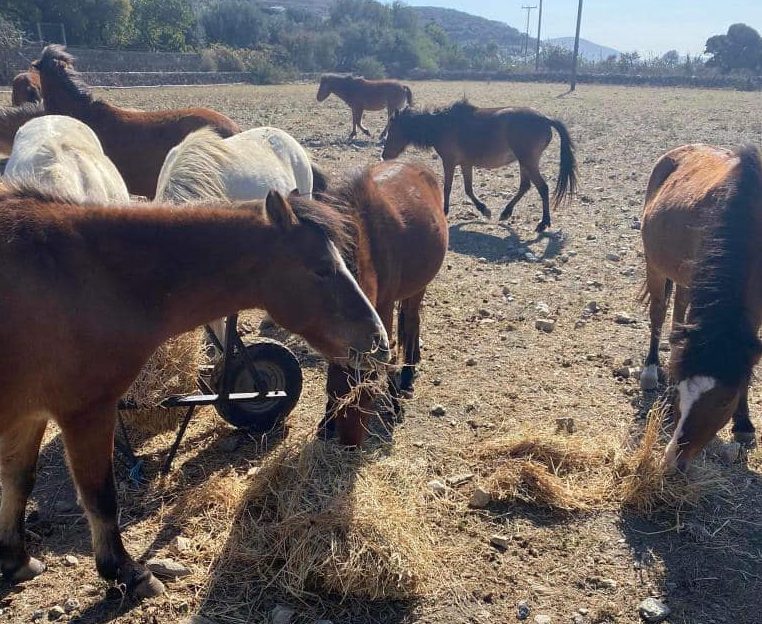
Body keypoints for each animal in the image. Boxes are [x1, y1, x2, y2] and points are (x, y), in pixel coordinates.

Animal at [0, 186, 386, 596]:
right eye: (322, 269)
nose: (379, 340)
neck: (85, 273)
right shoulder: (86, 411)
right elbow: (100, 496)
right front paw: (127, 571)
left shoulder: (30, 415)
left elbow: (19, 480)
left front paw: (16, 559)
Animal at [314, 160, 446, 444]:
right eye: (332, 391)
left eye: (369, 392)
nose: (349, 443)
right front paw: (325, 423)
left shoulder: (383, 306)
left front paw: (395, 405)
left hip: (418, 287)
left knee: (412, 321)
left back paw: (408, 373)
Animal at [380, 101, 576, 233]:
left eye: (392, 129)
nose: (384, 155)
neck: (442, 125)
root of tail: (545, 119)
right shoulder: (466, 164)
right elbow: (468, 189)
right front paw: (484, 209)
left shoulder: (449, 161)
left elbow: (448, 187)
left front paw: (445, 211)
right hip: (524, 162)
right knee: (525, 186)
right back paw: (506, 212)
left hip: (528, 161)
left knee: (542, 187)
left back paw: (543, 222)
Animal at [640, 144, 760, 470]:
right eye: (684, 390)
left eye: (725, 400)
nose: (674, 460)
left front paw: (743, 423)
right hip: (656, 266)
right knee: (659, 314)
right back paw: (651, 369)